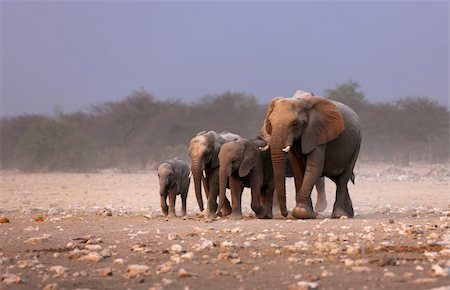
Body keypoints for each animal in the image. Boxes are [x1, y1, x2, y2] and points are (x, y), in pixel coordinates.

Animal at [264, 90, 362, 220]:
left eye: (295, 123)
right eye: (270, 123)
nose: (285, 214)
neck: (302, 101)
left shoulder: (317, 134)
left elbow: (313, 168)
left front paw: (301, 212)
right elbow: (298, 169)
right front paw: (306, 213)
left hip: (356, 145)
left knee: (343, 178)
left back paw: (340, 215)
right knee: (337, 178)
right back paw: (349, 214)